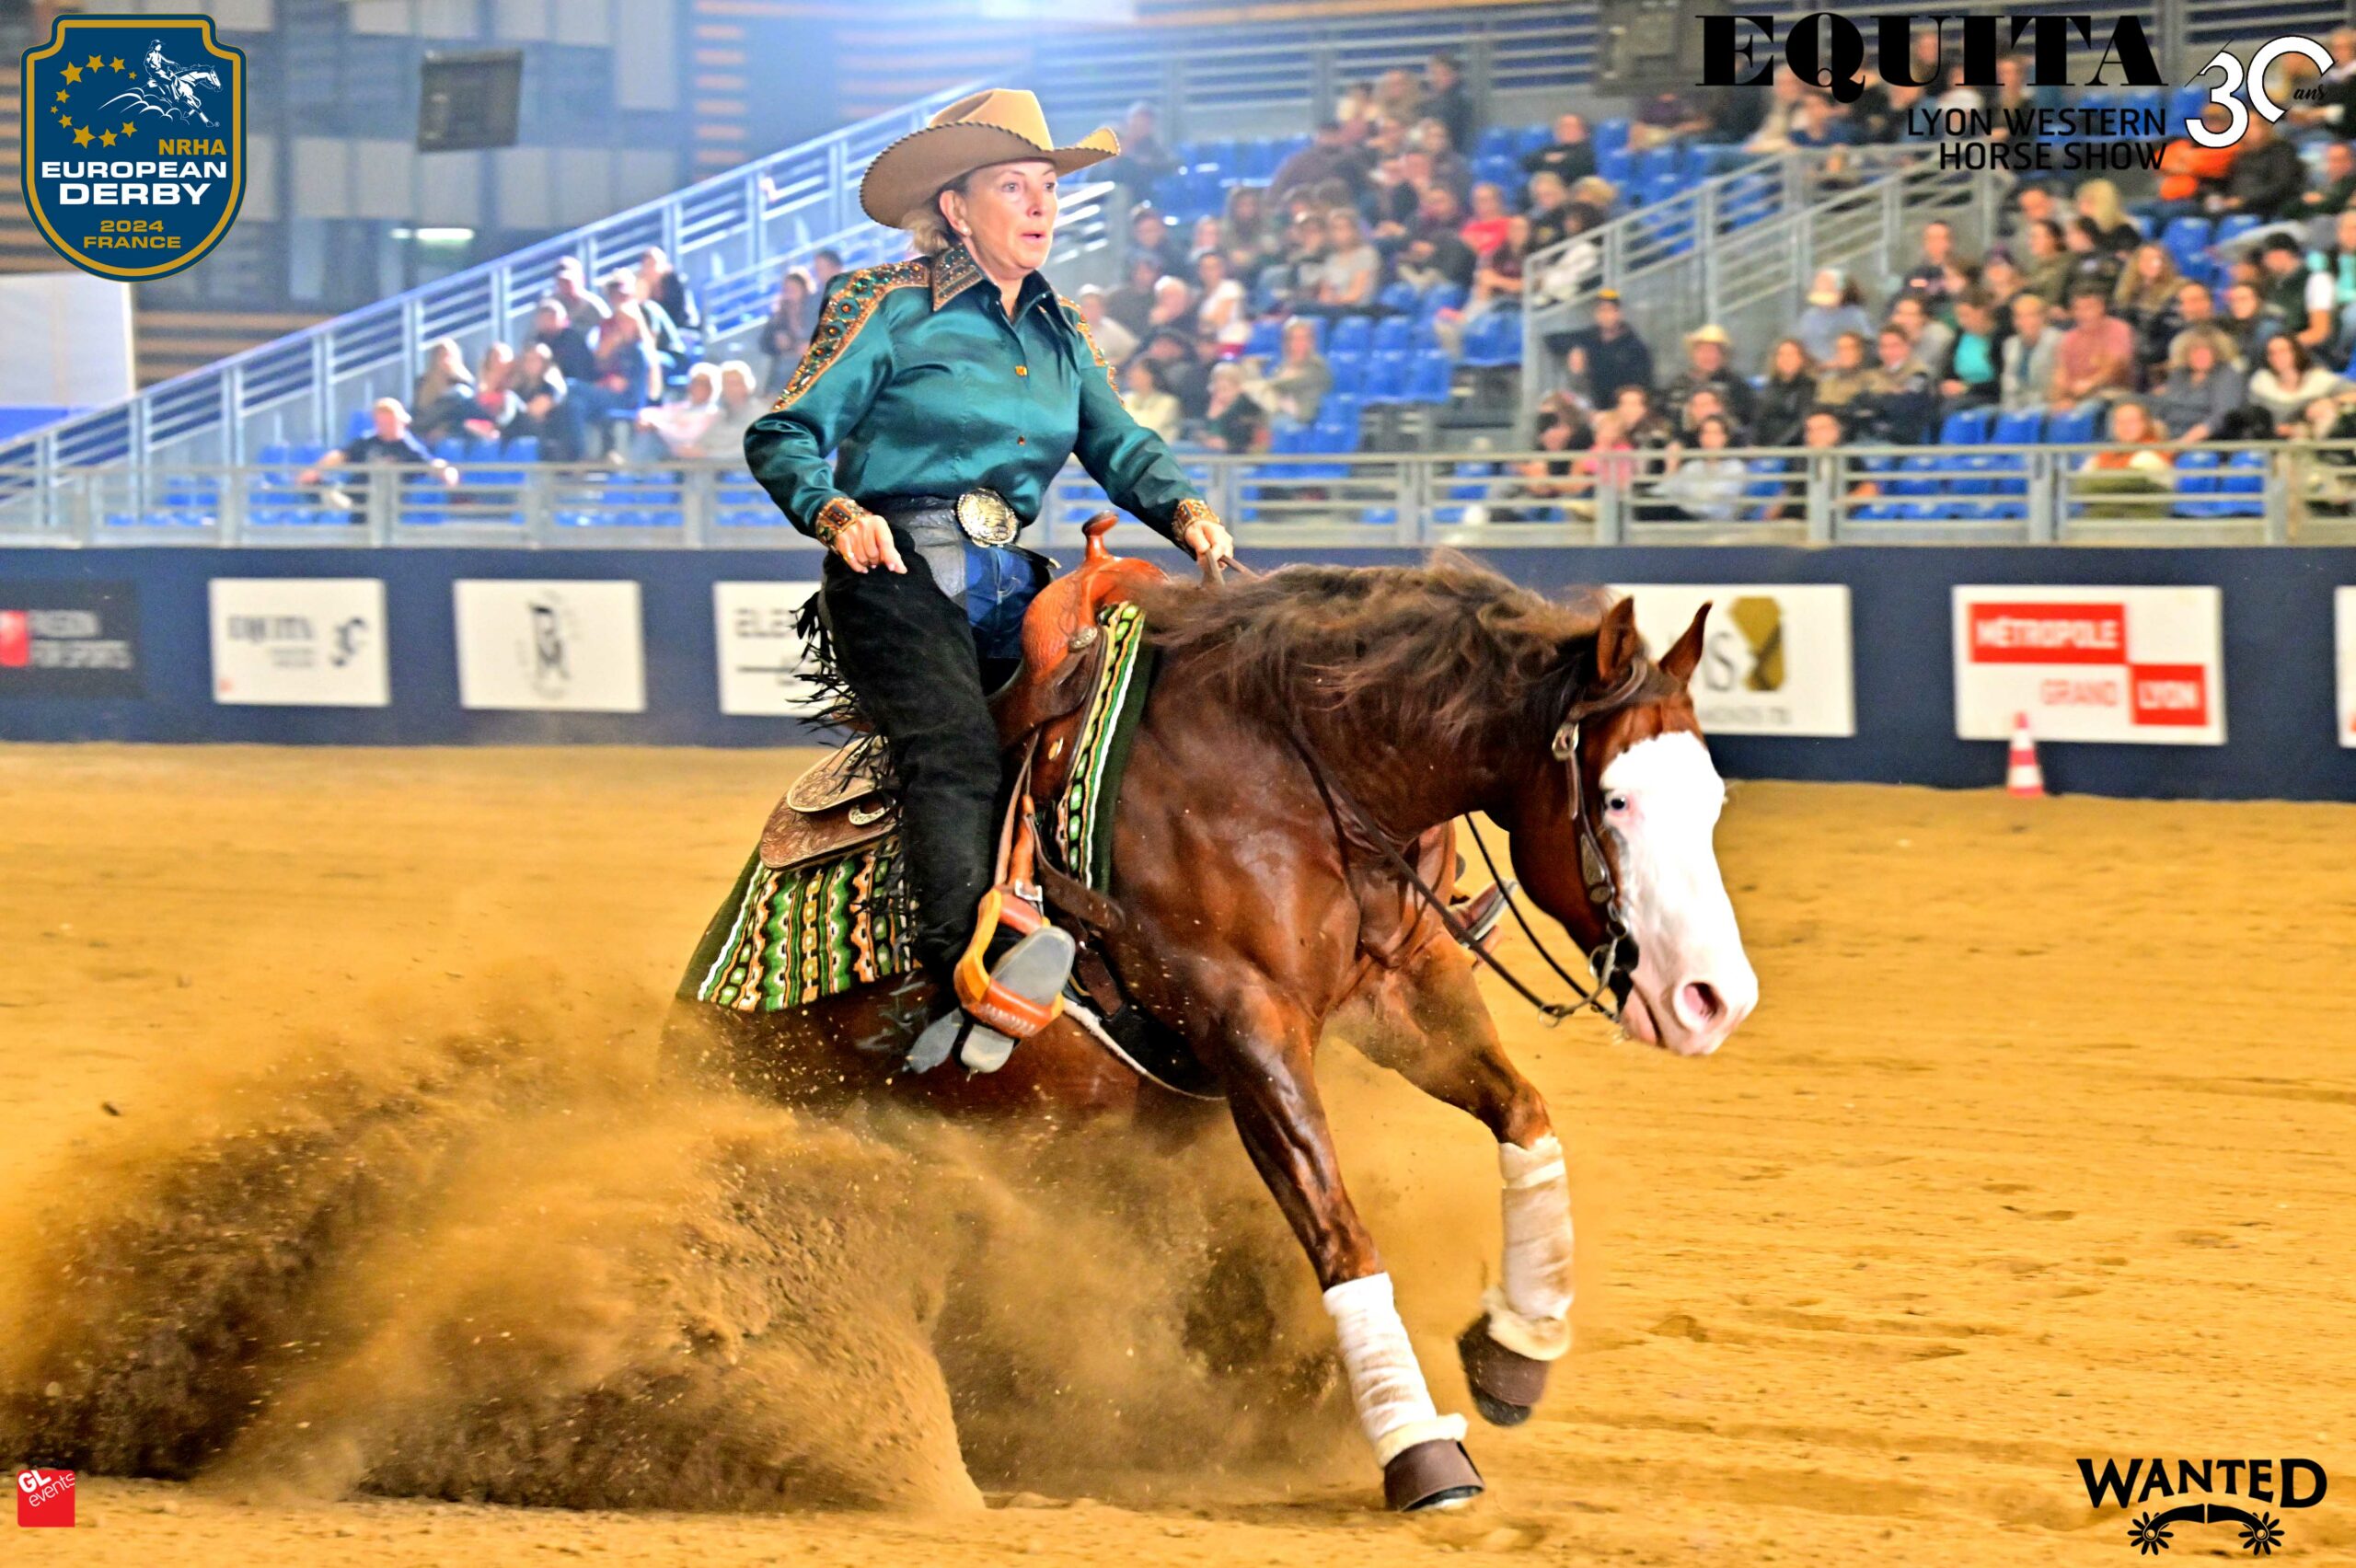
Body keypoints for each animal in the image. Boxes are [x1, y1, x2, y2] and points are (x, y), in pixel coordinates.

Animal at [665, 552, 1759, 1511]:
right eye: (1615, 797)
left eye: (1711, 796)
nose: (1715, 998)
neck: (1300, 774)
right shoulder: (1248, 1023)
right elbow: (1338, 1228)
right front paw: (1418, 1449)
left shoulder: (1405, 991)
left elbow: (1525, 1118)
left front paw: (1514, 1351)